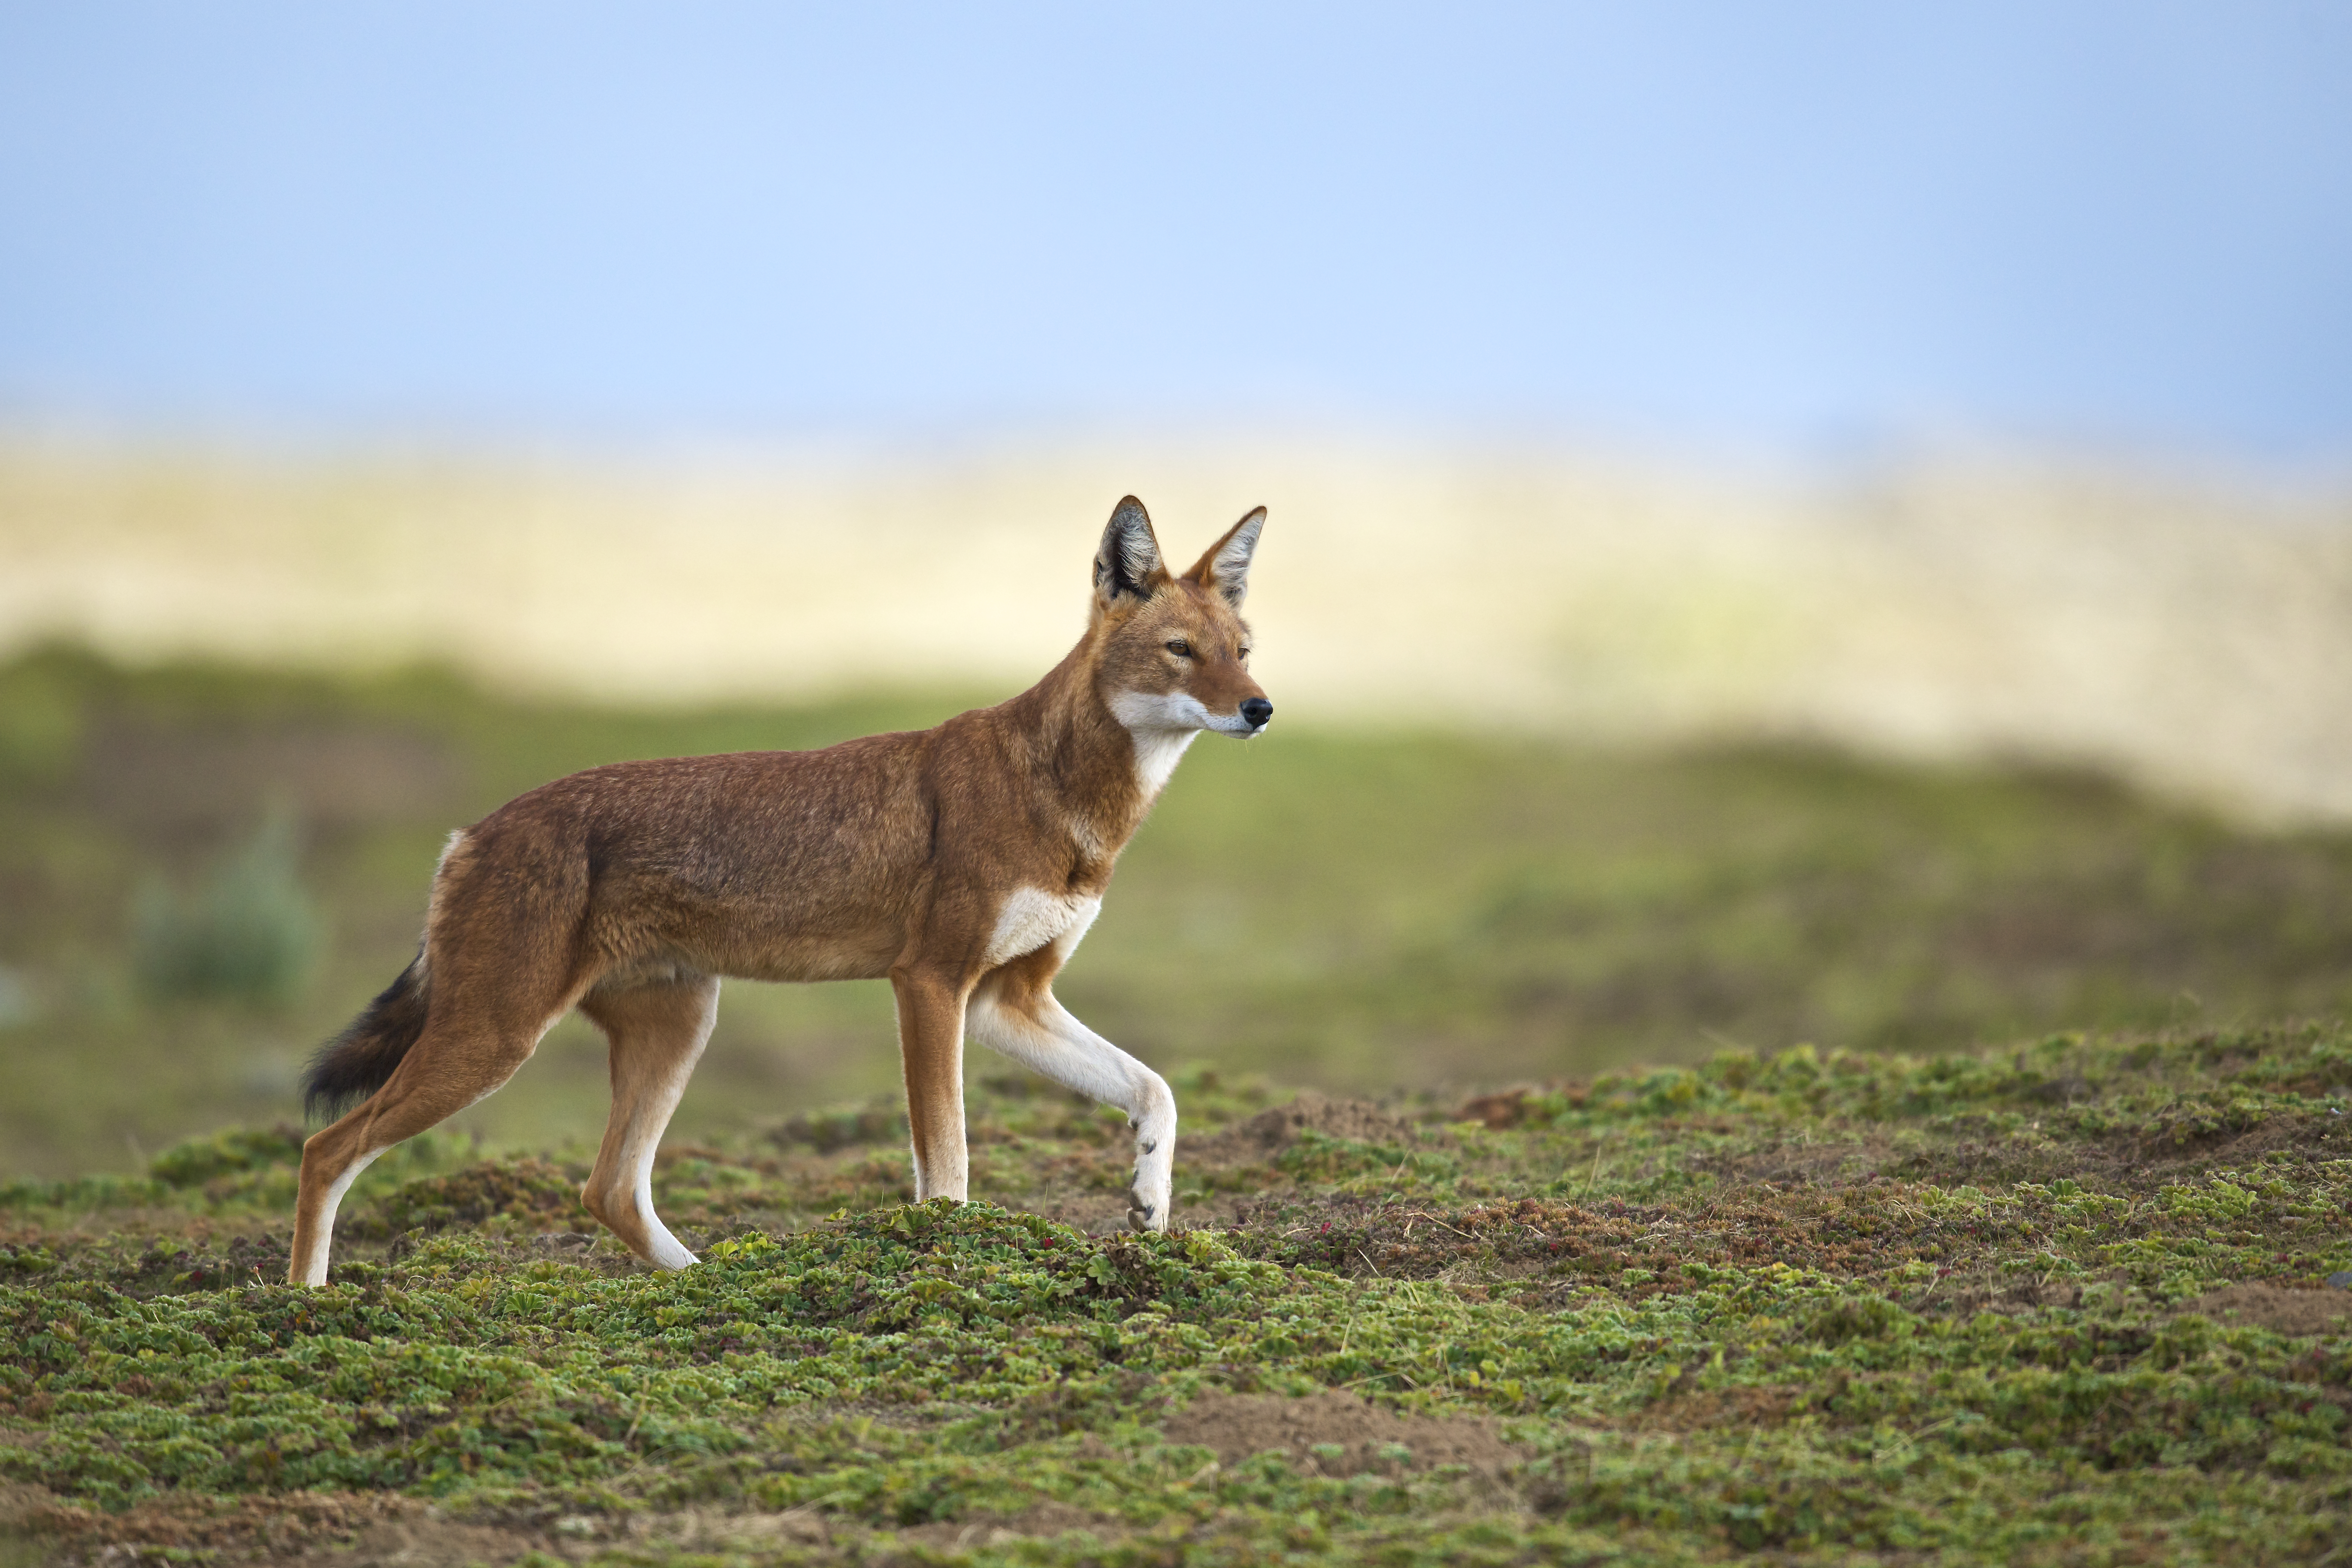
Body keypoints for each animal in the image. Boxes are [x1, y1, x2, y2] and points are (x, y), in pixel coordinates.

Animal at [287, 500, 1279, 1288]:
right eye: (1180, 652)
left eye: (1242, 652)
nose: (1262, 708)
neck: (1068, 802)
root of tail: (469, 834)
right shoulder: (929, 984)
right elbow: (948, 1160)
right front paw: (946, 1257)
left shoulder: (1007, 999)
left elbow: (1155, 1088)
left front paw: (1150, 1202)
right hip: (495, 1042)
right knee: (323, 1149)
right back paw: (305, 1306)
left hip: (676, 1029)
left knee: (609, 1189)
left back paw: (712, 1282)